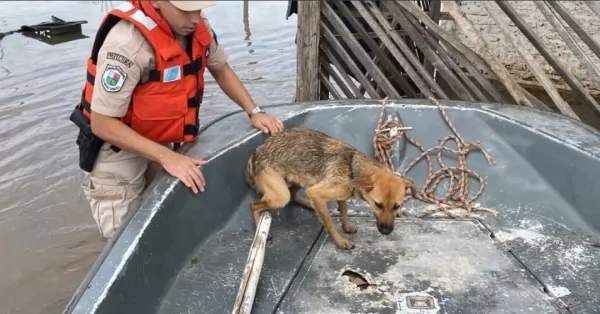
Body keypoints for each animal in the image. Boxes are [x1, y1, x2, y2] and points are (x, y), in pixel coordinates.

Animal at [241, 126, 414, 249]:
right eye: (378, 205)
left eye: (397, 206)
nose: (386, 232)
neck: (352, 168)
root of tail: (255, 152)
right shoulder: (317, 192)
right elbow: (330, 223)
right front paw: (340, 241)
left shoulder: (340, 193)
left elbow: (343, 210)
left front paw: (346, 226)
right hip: (280, 196)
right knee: (255, 205)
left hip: (299, 179)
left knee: (294, 196)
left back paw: (309, 204)